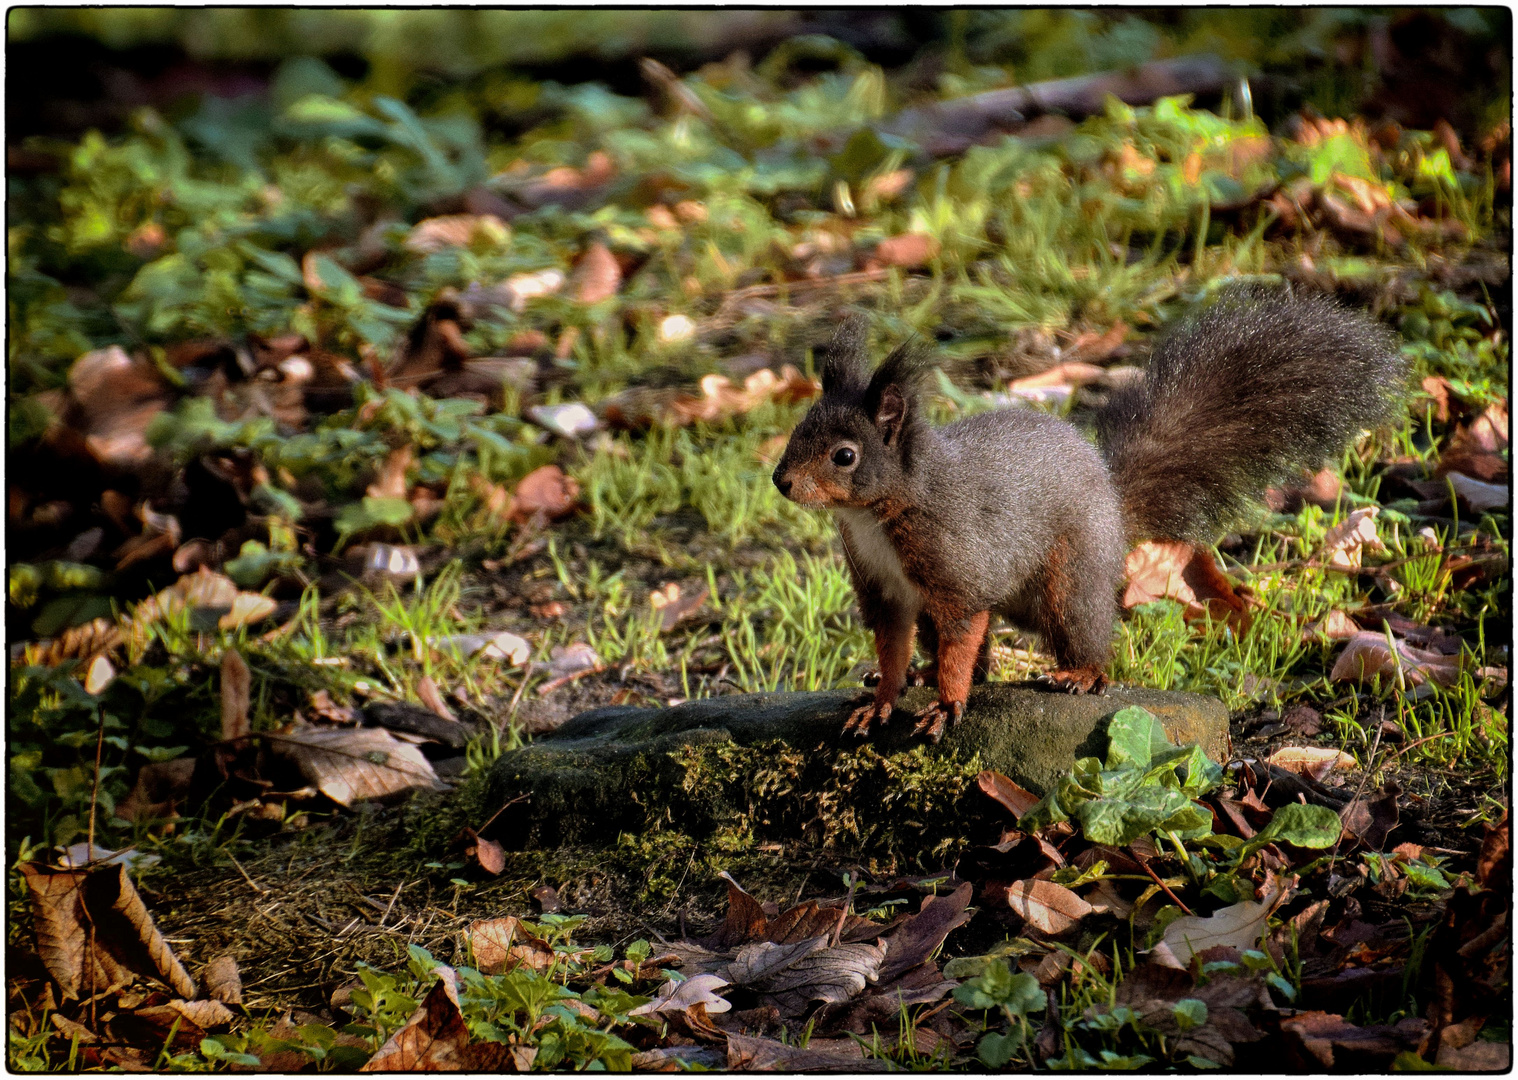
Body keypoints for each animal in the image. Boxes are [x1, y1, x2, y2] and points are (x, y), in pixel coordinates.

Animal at [777, 287, 1402, 744]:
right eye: (799, 428)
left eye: (845, 456)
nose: (782, 482)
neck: (877, 513)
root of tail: (1110, 495)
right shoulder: (882, 588)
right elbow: (892, 645)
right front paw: (882, 697)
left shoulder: (956, 571)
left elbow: (962, 636)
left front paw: (946, 705)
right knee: (980, 655)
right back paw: (923, 675)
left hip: (1068, 580)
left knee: (1085, 638)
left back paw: (1077, 674)